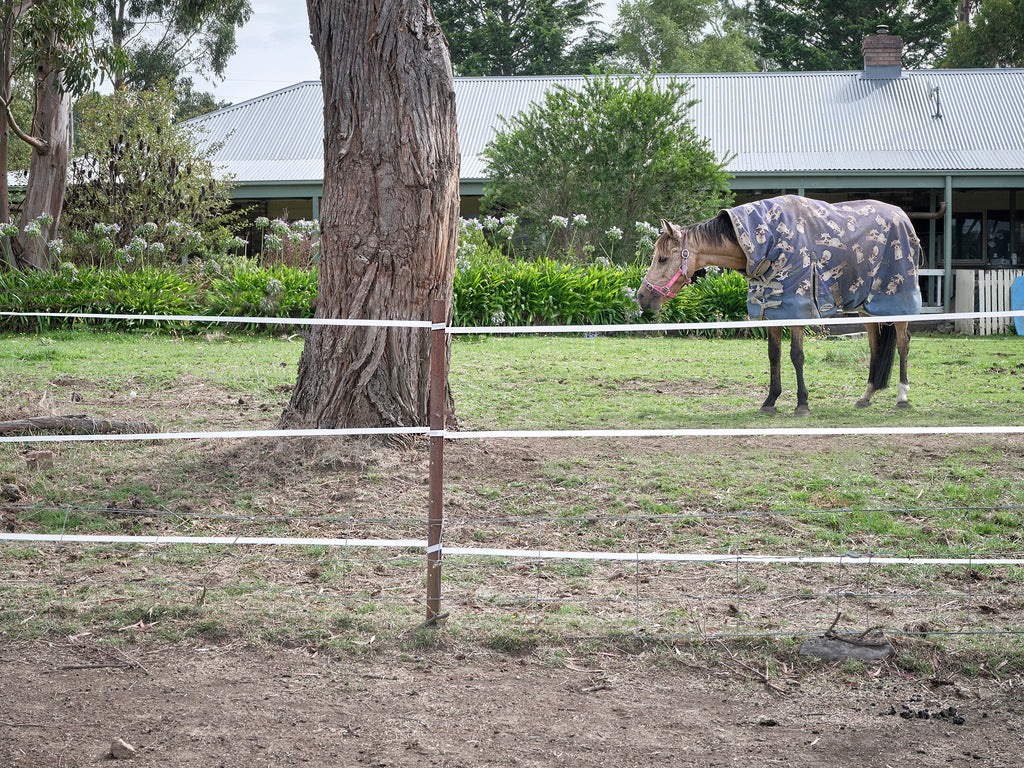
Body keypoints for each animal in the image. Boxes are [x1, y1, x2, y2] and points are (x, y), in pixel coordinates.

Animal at [634, 195, 925, 417]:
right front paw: (770, 402)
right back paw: (866, 396)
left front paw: (802, 404)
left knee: (903, 343)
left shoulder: (796, 311)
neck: (770, 243)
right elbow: (774, 355)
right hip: (866, 308)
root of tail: (903, 217)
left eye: (662, 259)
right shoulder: (770, 312)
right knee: (875, 345)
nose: (642, 297)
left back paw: (902, 396)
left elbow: (796, 355)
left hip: (897, 304)